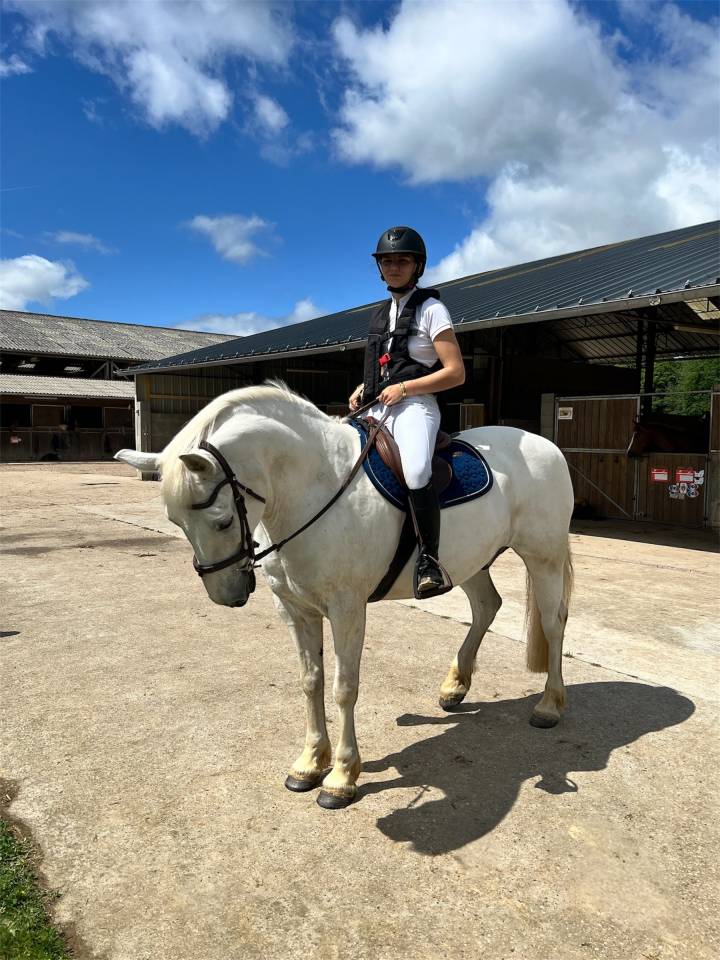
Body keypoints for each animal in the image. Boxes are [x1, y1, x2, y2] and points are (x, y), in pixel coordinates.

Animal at [116, 383, 574, 809]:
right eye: (175, 521)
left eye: (223, 520)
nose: (227, 595)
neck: (315, 488)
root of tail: (544, 444)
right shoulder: (296, 609)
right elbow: (310, 680)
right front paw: (309, 763)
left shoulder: (347, 609)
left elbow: (343, 688)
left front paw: (341, 776)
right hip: (469, 561)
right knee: (486, 607)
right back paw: (454, 687)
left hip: (544, 557)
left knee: (553, 623)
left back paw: (550, 706)